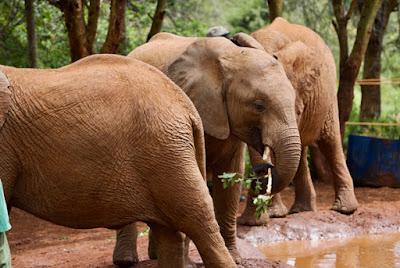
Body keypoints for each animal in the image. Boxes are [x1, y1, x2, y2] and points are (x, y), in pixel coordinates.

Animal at [111, 32, 302, 264]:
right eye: (259, 105)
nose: (264, 167)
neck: (232, 58)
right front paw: (189, 264)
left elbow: (230, 178)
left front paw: (234, 259)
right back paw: (126, 261)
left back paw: (155, 256)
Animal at [234, 17, 360, 225]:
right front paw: (268, 215)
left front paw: (271, 214)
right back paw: (301, 210)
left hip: (328, 92)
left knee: (330, 141)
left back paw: (344, 210)